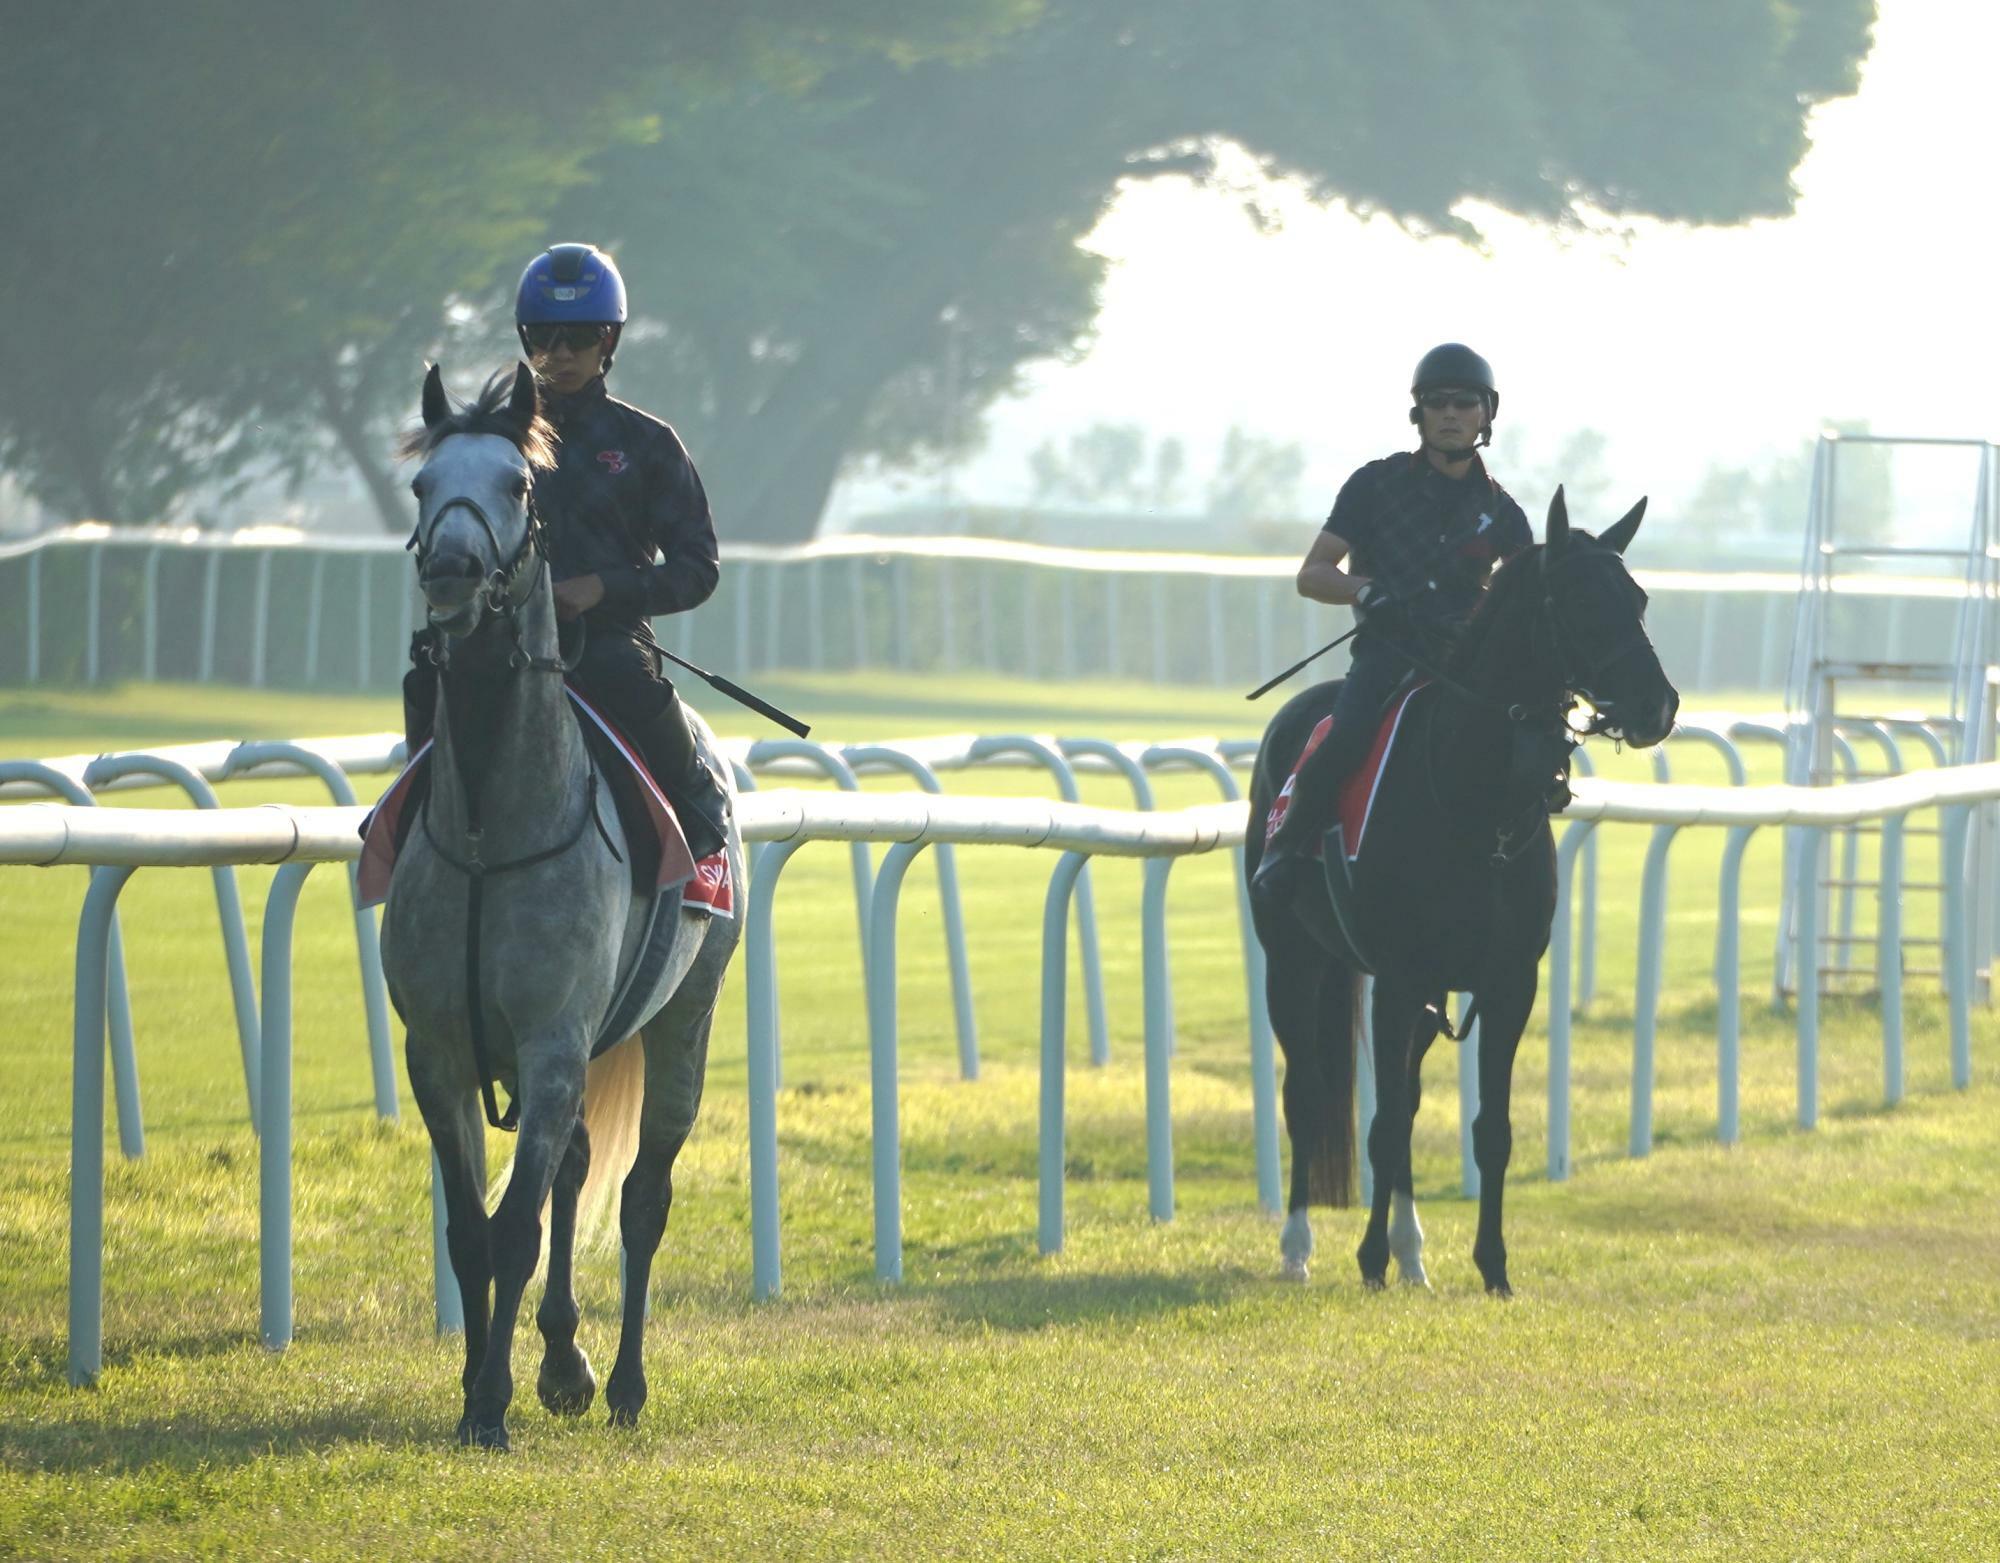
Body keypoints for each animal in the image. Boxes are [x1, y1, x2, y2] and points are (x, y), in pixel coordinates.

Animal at [380, 367, 744, 1455]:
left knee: (641, 1197)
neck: (492, 830)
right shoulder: (440, 1049)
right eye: (423, 486)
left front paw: (492, 1401)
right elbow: (471, 1231)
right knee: (580, 1172)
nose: (453, 570)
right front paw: (477, 1388)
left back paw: (621, 1381)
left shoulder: (547, 1044)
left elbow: (515, 1229)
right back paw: (565, 1363)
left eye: (518, 483)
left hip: (683, 1020)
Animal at [1248, 489, 1672, 1295]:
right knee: (1308, 1094)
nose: (1657, 706)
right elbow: (1382, 1124)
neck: (1478, 802)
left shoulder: (1507, 983)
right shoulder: (1397, 977)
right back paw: (1297, 1245)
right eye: (1579, 599)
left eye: (1638, 598)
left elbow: (1488, 1129)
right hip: (1292, 958)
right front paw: (1369, 1260)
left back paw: (1413, 1253)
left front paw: (1492, 1266)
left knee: (1405, 1099)